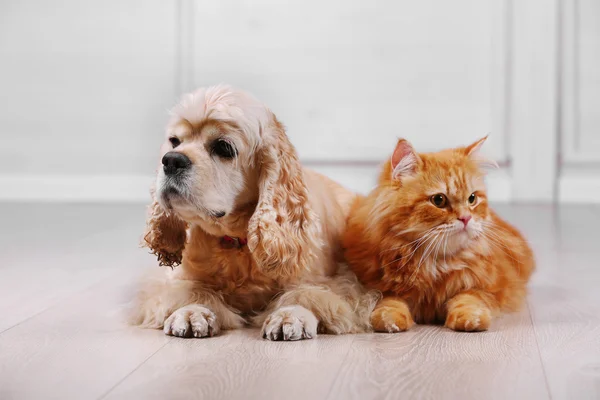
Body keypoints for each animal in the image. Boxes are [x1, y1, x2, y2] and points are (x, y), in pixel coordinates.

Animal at [129, 85, 378, 340]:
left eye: (223, 147)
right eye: (174, 141)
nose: (171, 160)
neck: (237, 241)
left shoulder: (332, 282)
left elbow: (307, 295)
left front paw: (289, 316)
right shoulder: (177, 279)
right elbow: (190, 290)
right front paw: (192, 311)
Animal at [342, 138, 536, 332]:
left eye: (472, 199)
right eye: (439, 200)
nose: (466, 218)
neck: (435, 263)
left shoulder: (488, 288)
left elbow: (468, 299)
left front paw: (471, 319)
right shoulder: (381, 287)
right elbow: (391, 302)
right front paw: (389, 319)